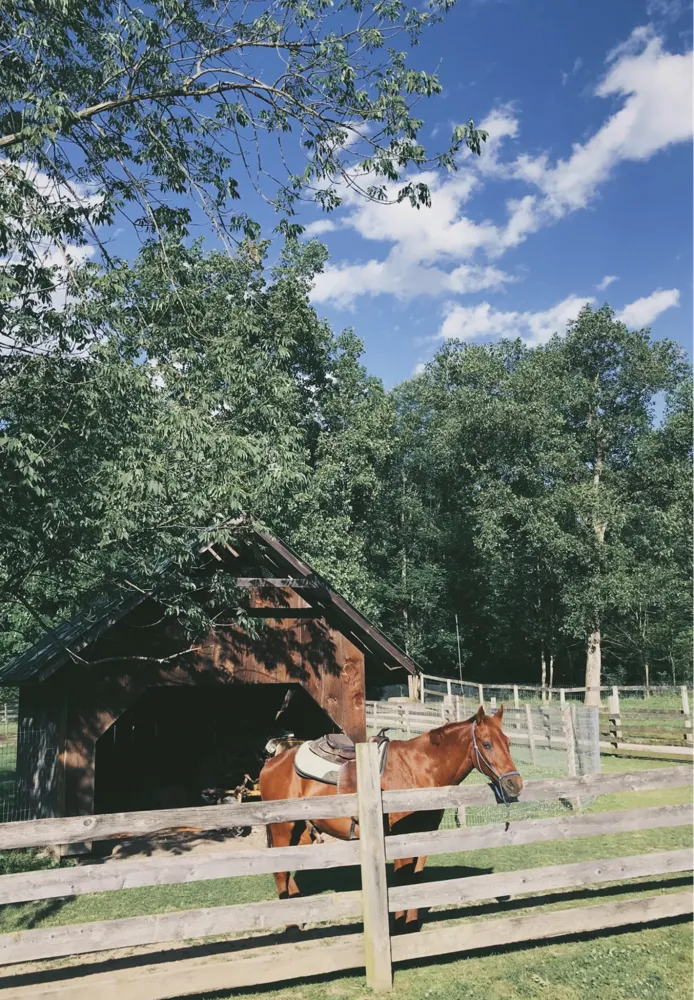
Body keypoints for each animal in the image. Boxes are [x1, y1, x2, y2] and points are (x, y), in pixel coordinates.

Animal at [259, 703, 523, 931]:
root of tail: (271, 763)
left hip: (302, 830)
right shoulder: (400, 837)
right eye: (487, 744)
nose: (515, 784)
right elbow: (402, 879)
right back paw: (291, 927)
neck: (418, 769)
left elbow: (415, 878)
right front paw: (399, 926)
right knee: (280, 872)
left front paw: (411, 923)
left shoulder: (423, 835)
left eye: (508, 742)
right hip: (283, 828)